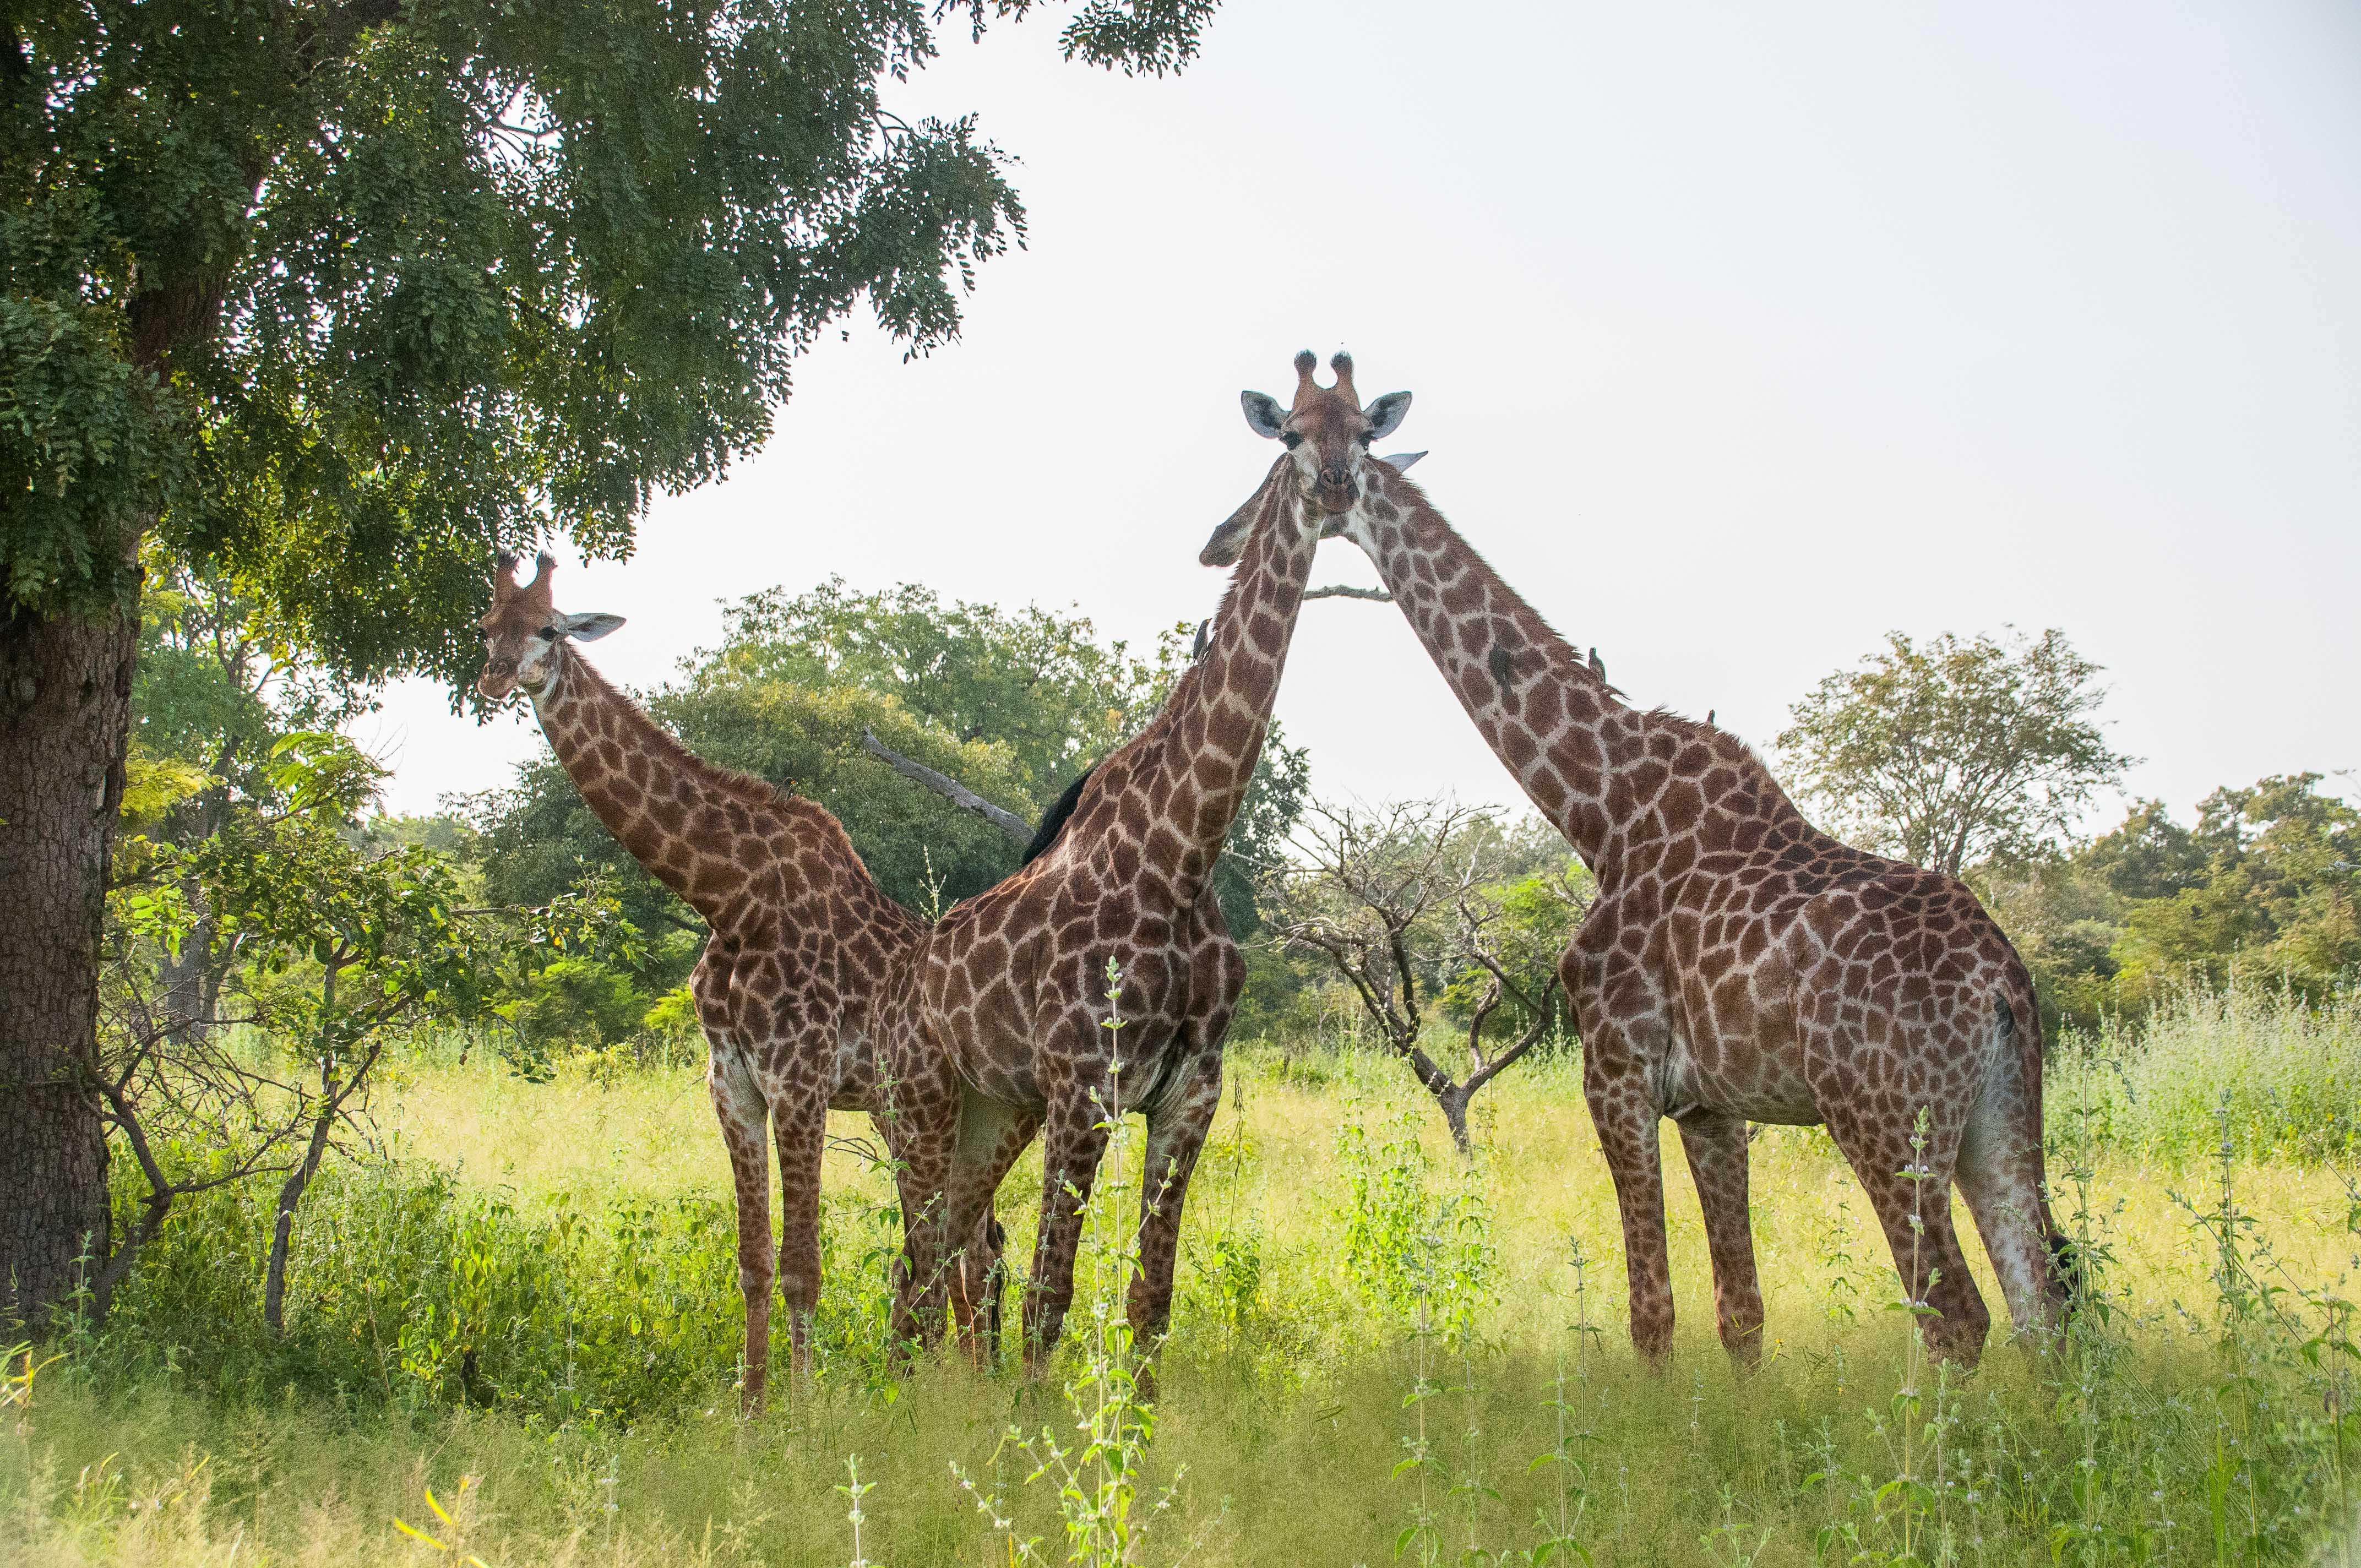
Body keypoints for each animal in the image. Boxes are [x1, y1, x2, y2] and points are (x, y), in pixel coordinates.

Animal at [474, 550, 1001, 1407]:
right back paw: (959, 1387)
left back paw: (962, 1392)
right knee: (963, 1246)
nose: (493, 677)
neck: (730, 897)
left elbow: (803, 1267)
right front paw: (751, 1412)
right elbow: (754, 1263)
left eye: (550, 628)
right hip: (903, 1115)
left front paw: (805, 1413)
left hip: (936, 1113)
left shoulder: (799, 1081)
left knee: (962, 1249)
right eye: (488, 626)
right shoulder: (731, 1085)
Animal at [1209, 361, 2077, 1369]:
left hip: (1880, 1114)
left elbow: (1649, 1315)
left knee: (1957, 1316)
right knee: (2044, 1309)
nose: (1220, 538)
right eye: (1290, 435)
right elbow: (1740, 1313)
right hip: (1999, 1121)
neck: (1603, 810)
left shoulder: (1615, 1070)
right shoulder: (1712, 1104)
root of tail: (2001, 983)